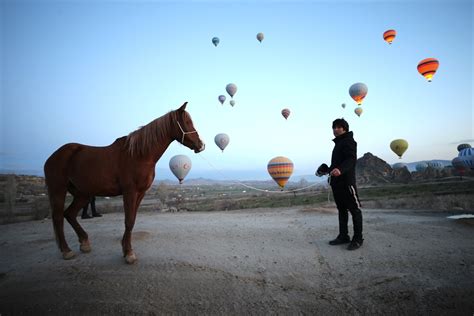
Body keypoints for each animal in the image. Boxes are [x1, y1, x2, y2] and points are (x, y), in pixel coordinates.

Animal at [45, 102, 206, 262]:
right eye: (187, 122)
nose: (201, 145)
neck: (139, 155)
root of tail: (53, 156)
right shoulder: (130, 191)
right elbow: (128, 221)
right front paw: (129, 253)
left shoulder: (140, 193)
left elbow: (132, 220)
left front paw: (125, 248)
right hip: (58, 190)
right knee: (58, 217)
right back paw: (66, 250)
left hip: (82, 194)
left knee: (69, 214)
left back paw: (84, 243)